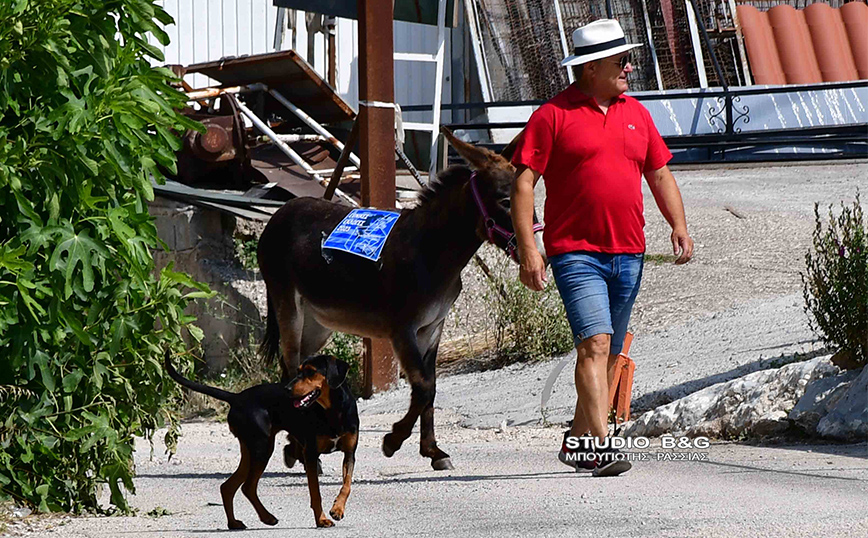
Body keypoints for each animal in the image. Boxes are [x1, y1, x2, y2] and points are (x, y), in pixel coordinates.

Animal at [164, 352, 358, 528]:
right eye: (298, 371)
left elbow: (346, 485)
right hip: (262, 448)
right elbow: (315, 492)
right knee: (247, 487)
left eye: (310, 372)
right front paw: (322, 520)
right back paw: (266, 517)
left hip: (252, 451)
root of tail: (237, 397)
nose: (287, 389)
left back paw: (234, 523)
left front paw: (337, 509)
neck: (333, 411)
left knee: (228, 487)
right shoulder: (310, 454)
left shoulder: (349, 453)